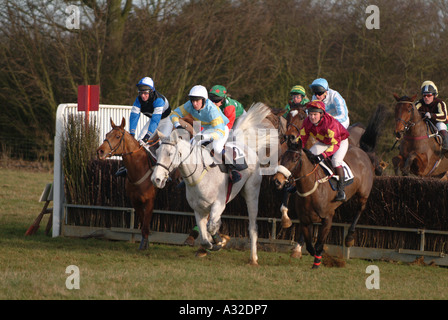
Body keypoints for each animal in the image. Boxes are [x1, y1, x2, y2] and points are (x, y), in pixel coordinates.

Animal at [96, 117, 158, 250]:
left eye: (118, 136)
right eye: (106, 134)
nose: (100, 151)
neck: (139, 169)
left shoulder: (150, 200)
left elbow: (146, 223)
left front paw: (144, 245)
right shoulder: (135, 201)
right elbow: (143, 221)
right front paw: (144, 243)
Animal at [272, 105, 384, 268]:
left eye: (295, 158)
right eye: (283, 157)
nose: (277, 181)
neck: (310, 189)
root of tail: (363, 153)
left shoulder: (327, 218)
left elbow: (318, 244)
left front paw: (318, 260)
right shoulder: (304, 220)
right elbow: (309, 244)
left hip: (363, 193)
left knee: (360, 209)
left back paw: (349, 237)